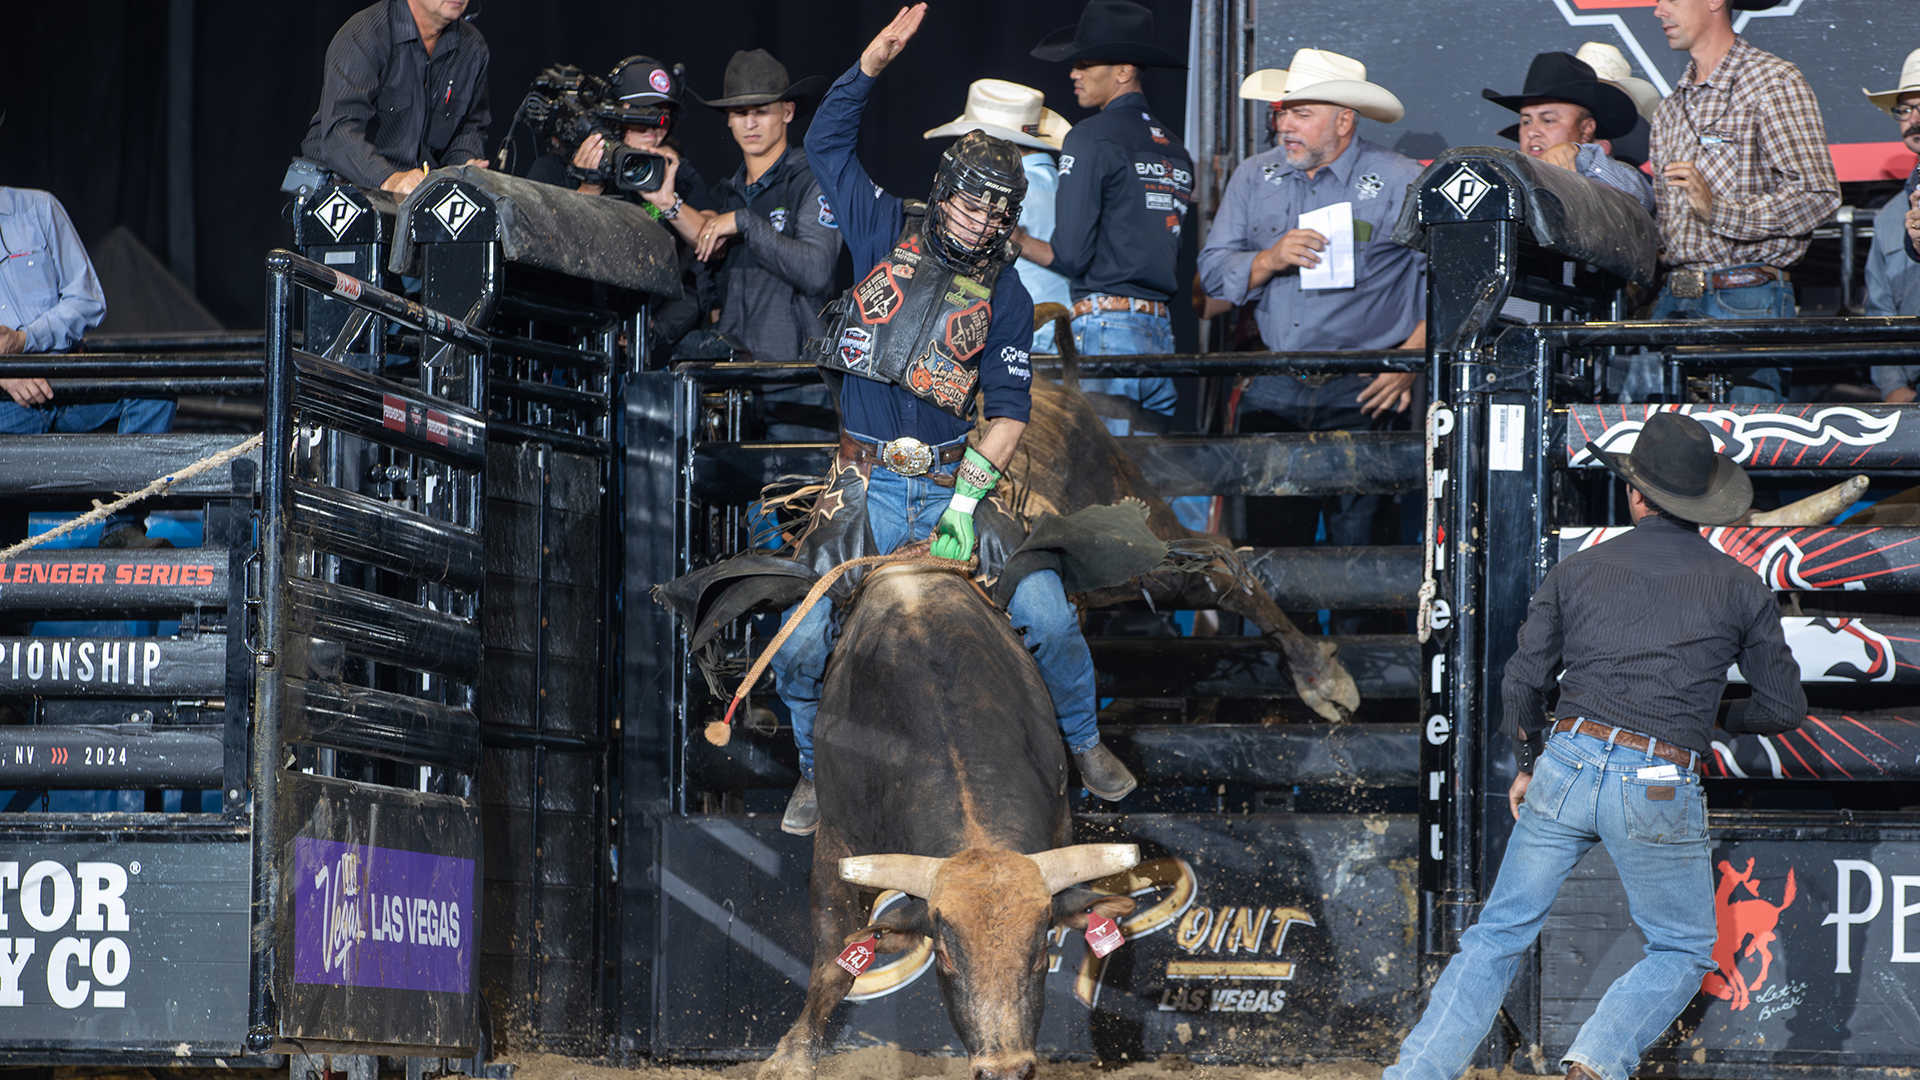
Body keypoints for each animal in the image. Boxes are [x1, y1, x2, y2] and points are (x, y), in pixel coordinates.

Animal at [764, 564, 1136, 1076]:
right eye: (943, 955)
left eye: (1041, 950)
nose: (1006, 1069)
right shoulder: (836, 844)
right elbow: (833, 964)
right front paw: (792, 1059)